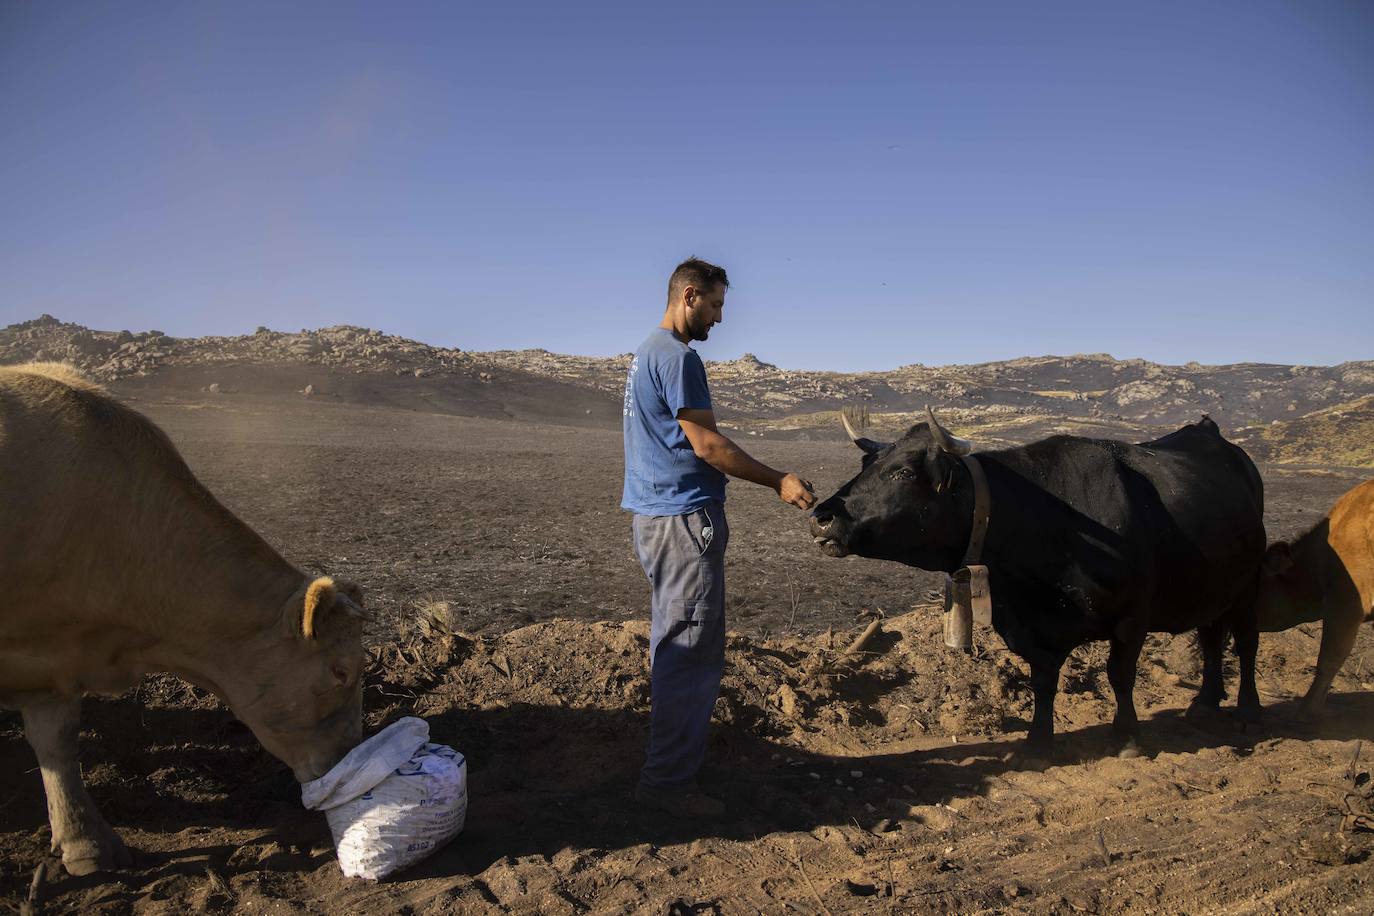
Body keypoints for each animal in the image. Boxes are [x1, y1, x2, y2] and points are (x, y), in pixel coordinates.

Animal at [807, 409, 1269, 769]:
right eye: (865, 466)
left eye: (903, 472)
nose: (820, 516)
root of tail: (1209, 432)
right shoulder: (1029, 626)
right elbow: (1043, 681)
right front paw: (1038, 744)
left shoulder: (1132, 616)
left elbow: (1119, 674)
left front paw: (1126, 738)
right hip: (1214, 586)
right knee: (1211, 637)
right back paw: (1206, 701)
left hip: (1250, 583)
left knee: (1246, 642)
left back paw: (1248, 708)